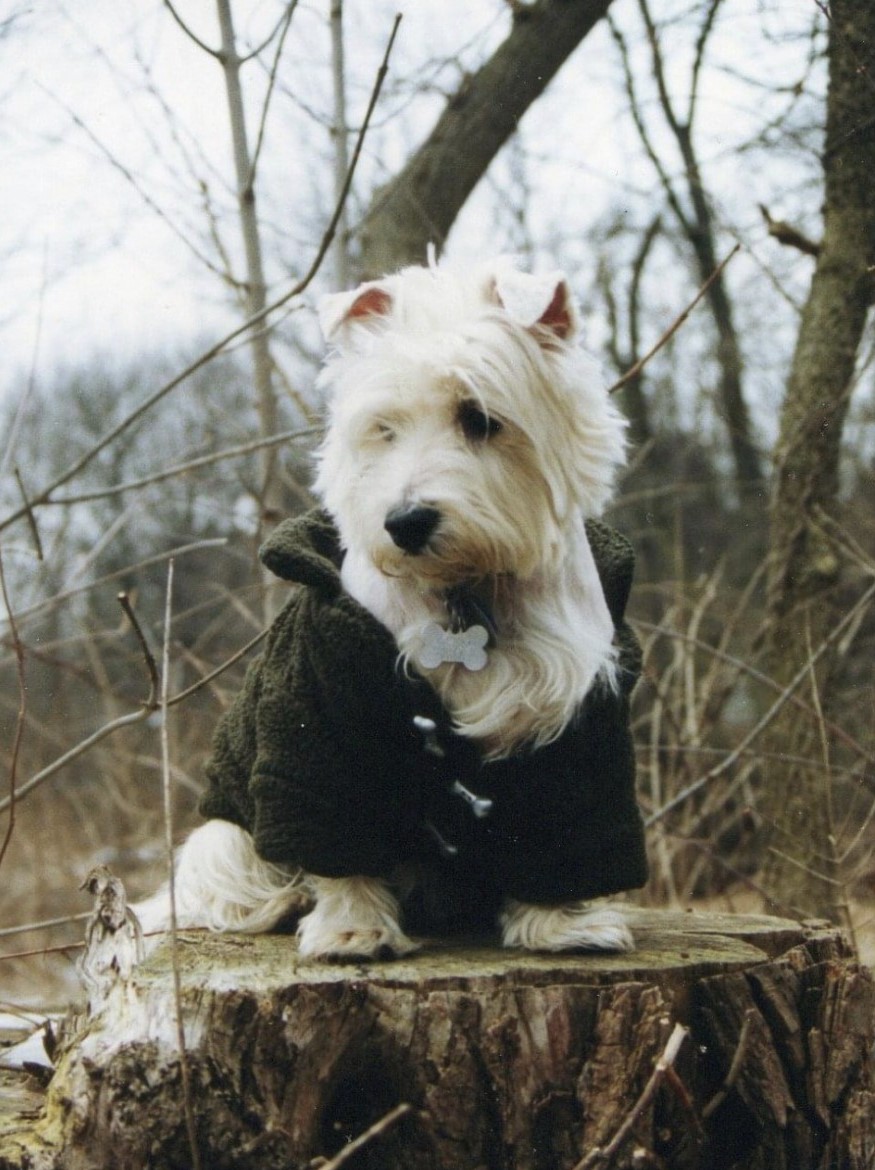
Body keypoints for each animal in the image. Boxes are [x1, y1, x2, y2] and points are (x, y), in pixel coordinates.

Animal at [140, 256, 645, 959]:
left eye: (479, 418)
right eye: (385, 428)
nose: (404, 522)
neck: (462, 593)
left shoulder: (577, 723)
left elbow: (567, 829)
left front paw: (566, 923)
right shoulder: (325, 732)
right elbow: (343, 837)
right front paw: (353, 928)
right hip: (230, 832)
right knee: (228, 878)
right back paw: (282, 901)